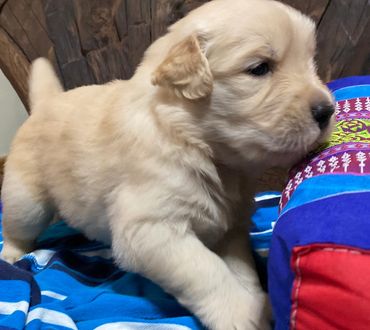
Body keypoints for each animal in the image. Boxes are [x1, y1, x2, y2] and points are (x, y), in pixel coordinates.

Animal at [0, 1, 336, 328]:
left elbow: (241, 268)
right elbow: (208, 271)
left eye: (310, 61)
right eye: (260, 68)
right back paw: (11, 255)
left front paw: (257, 302)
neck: (196, 143)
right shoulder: (152, 228)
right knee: (17, 228)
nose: (326, 111)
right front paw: (243, 314)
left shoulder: (231, 226)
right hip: (27, 199)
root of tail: (45, 103)